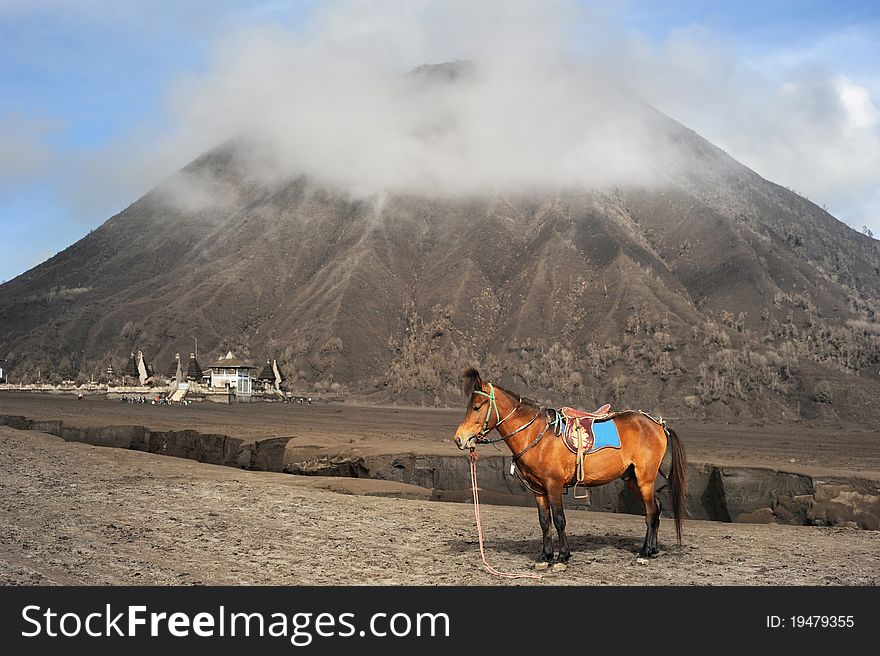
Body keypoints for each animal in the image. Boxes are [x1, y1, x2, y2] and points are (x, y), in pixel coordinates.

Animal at [454, 366, 688, 568]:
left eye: (476, 407)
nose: (459, 439)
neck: (537, 435)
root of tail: (658, 424)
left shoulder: (554, 485)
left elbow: (559, 520)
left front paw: (562, 557)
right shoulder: (538, 489)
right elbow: (544, 521)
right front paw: (545, 556)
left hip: (644, 479)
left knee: (651, 512)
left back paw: (644, 552)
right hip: (632, 480)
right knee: (657, 508)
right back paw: (653, 549)